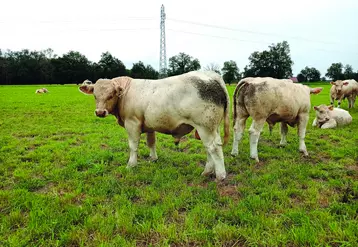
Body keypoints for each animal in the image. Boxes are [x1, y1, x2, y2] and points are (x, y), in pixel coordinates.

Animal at [78, 70, 229, 180]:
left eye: (111, 95)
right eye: (95, 96)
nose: (100, 112)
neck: (125, 94)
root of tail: (210, 75)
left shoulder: (132, 123)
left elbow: (133, 146)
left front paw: (131, 165)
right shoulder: (149, 126)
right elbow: (151, 142)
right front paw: (153, 159)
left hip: (204, 127)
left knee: (213, 148)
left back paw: (220, 176)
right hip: (212, 128)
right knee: (210, 148)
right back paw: (207, 172)